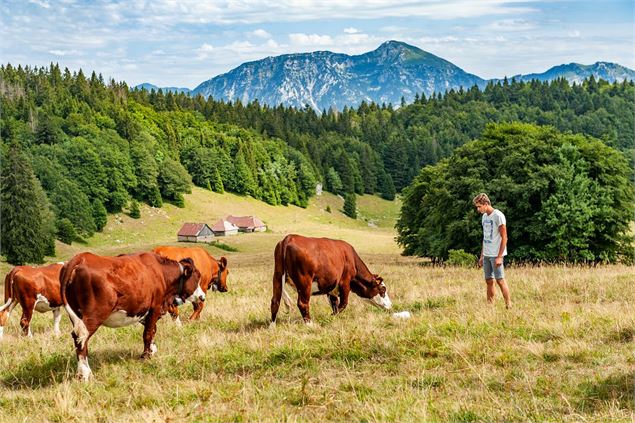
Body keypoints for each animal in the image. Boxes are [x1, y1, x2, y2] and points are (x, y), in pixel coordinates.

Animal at [59, 252, 204, 380]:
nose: (202, 296)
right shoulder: (155, 307)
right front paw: (146, 356)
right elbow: (148, 334)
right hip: (93, 316)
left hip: (76, 317)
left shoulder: (144, 311)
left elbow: (152, 330)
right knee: (81, 338)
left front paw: (152, 350)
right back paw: (84, 373)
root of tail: (81, 257)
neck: (161, 273)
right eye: (197, 278)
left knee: (80, 340)